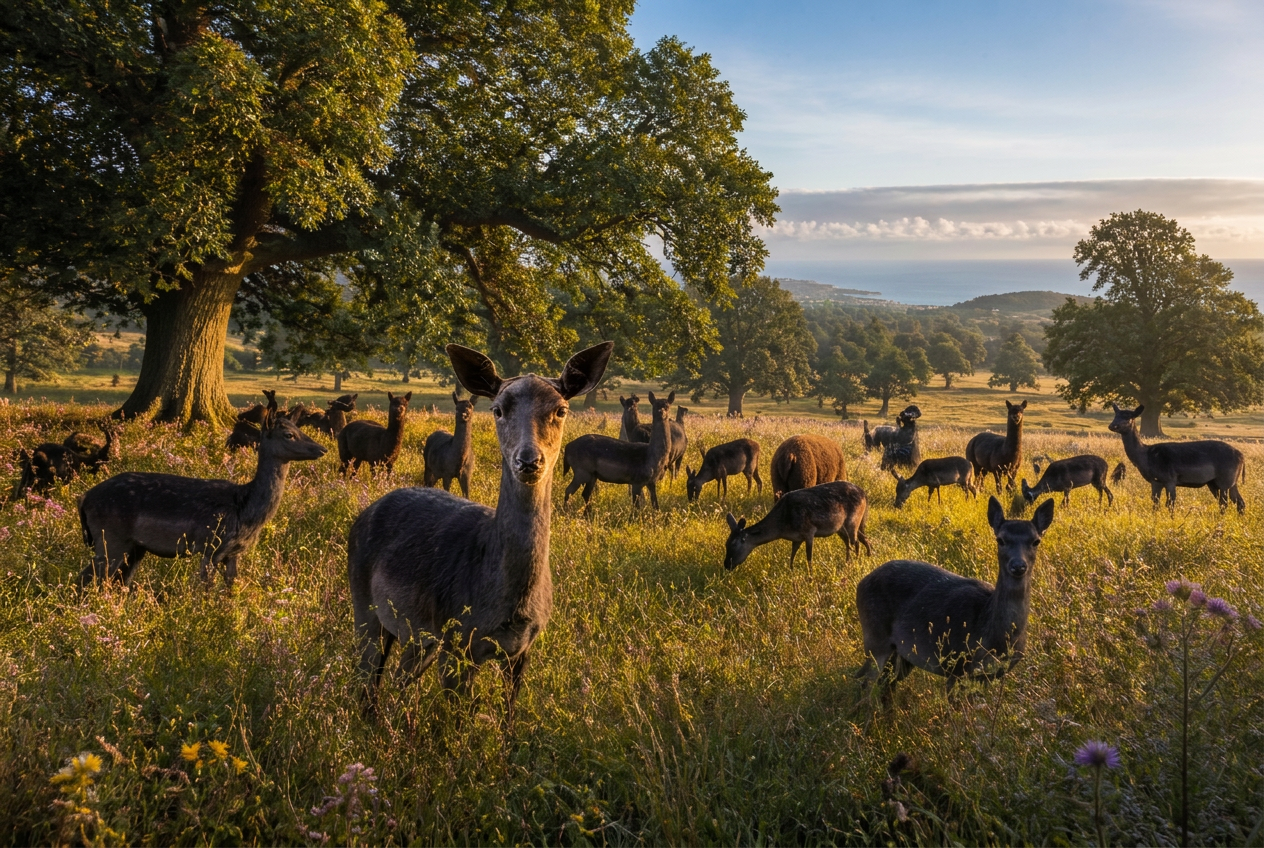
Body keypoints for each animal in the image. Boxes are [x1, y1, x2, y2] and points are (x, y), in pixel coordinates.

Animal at [77, 411, 326, 588]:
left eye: (298, 428)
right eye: (289, 434)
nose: (322, 448)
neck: (246, 510)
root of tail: (84, 499)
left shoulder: (234, 553)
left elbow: (231, 591)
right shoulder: (211, 546)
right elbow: (203, 590)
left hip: (135, 547)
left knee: (118, 582)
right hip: (110, 538)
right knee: (86, 578)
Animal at [348, 341, 612, 725]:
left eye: (561, 409)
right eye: (498, 409)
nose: (528, 461)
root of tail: (363, 515)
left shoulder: (522, 648)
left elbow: (509, 719)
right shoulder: (457, 639)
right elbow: (456, 723)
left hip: (420, 637)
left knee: (399, 676)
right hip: (364, 605)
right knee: (367, 679)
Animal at [723, 481, 871, 570]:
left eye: (734, 544)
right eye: (726, 543)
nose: (726, 564)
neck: (783, 527)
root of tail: (864, 494)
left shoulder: (809, 530)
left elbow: (809, 557)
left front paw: (810, 577)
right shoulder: (796, 538)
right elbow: (792, 555)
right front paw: (791, 571)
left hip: (852, 520)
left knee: (855, 541)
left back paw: (855, 562)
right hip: (841, 527)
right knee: (855, 540)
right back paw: (857, 559)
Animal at [855, 496, 1055, 700]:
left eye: (1036, 541)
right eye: (1000, 539)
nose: (1018, 566)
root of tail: (862, 582)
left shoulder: (989, 675)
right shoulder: (958, 665)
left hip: (903, 653)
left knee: (887, 684)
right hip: (874, 636)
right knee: (866, 684)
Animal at [1108, 403, 1245, 513]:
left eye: (1128, 417)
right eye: (1115, 415)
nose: (1112, 426)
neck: (1145, 458)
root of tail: (1242, 456)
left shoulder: (1170, 478)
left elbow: (1170, 503)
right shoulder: (1155, 481)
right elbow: (1155, 503)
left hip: (1225, 479)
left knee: (1224, 503)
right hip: (1223, 482)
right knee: (1239, 502)